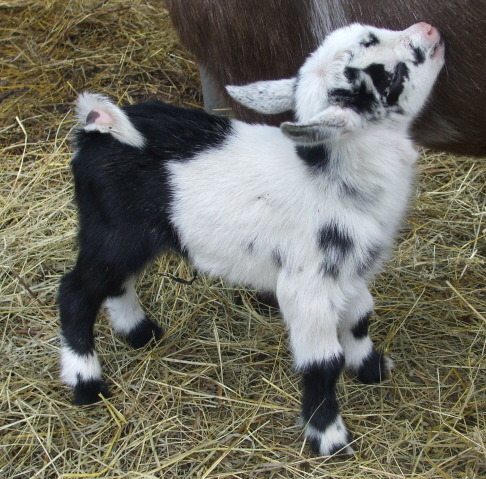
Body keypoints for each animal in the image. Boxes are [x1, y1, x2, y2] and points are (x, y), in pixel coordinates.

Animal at [59, 23, 444, 458]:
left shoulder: (348, 272)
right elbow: (322, 363)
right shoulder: (307, 283)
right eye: (386, 72)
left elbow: (360, 318)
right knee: (76, 292)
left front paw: (371, 367)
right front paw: (329, 436)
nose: (429, 30)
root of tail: (96, 126)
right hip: (114, 231)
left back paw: (140, 334)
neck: (332, 176)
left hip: (127, 236)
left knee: (115, 283)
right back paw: (86, 382)